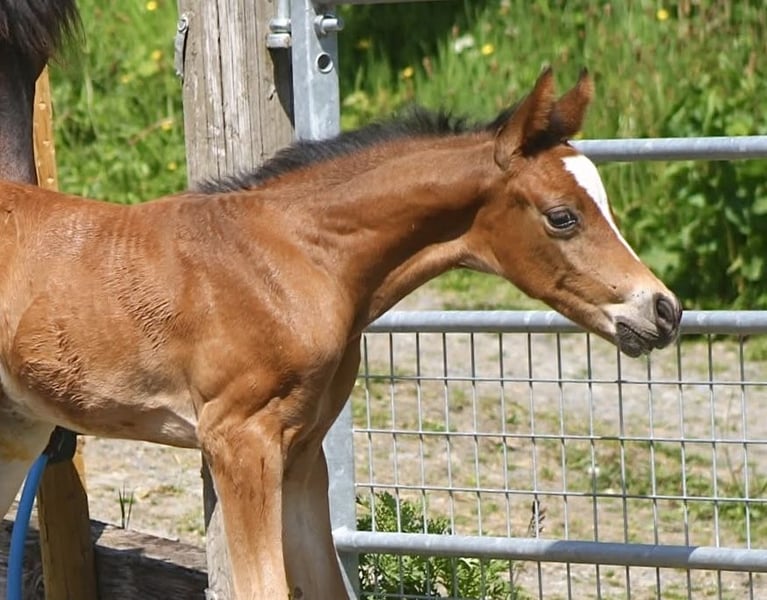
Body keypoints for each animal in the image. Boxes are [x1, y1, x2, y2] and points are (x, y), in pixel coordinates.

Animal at [0, 62, 680, 598]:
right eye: (562, 217)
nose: (663, 310)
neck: (295, 258)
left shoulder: (301, 450)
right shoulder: (237, 441)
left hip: (21, 431)